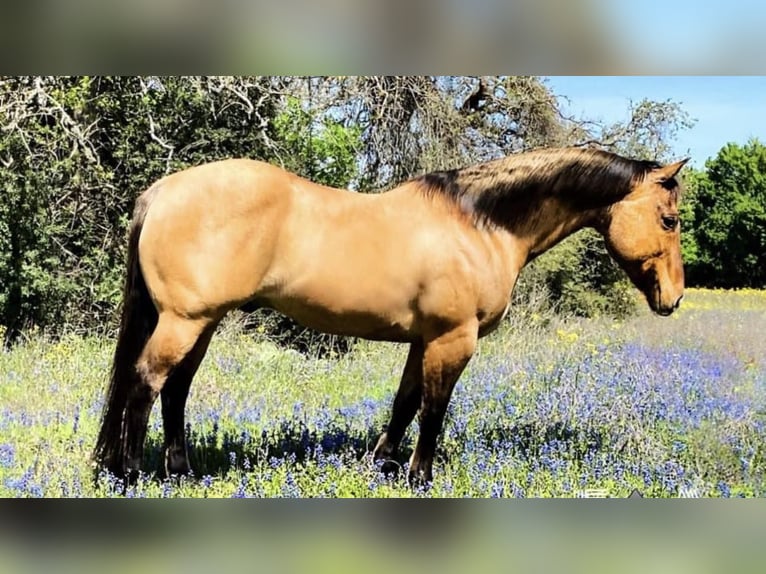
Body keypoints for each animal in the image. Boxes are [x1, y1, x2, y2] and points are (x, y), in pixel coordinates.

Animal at [91, 147, 688, 486]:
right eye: (670, 218)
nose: (674, 298)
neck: (479, 224)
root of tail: (161, 192)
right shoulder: (454, 339)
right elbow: (432, 412)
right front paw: (420, 478)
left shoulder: (425, 340)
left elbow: (403, 405)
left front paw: (380, 465)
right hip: (184, 320)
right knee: (145, 384)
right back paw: (131, 473)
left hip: (203, 322)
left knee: (176, 390)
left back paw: (181, 473)